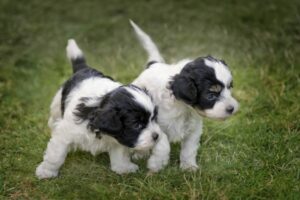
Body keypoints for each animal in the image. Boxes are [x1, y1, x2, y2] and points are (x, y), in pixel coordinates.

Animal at [35, 38, 169, 178]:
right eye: (137, 125)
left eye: (154, 119)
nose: (156, 136)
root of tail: (83, 68)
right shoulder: (65, 133)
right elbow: (56, 155)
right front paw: (46, 171)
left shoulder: (118, 138)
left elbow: (120, 154)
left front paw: (123, 168)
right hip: (57, 103)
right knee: (54, 116)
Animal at [130, 21, 238, 170]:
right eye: (211, 95)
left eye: (229, 88)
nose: (232, 108)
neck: (184, 108)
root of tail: (154, 65)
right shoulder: (156, 125)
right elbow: (163, 143)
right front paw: (157, 164)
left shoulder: (194, 129)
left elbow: (189, 148)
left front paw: (188, 166)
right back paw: (141, 154)